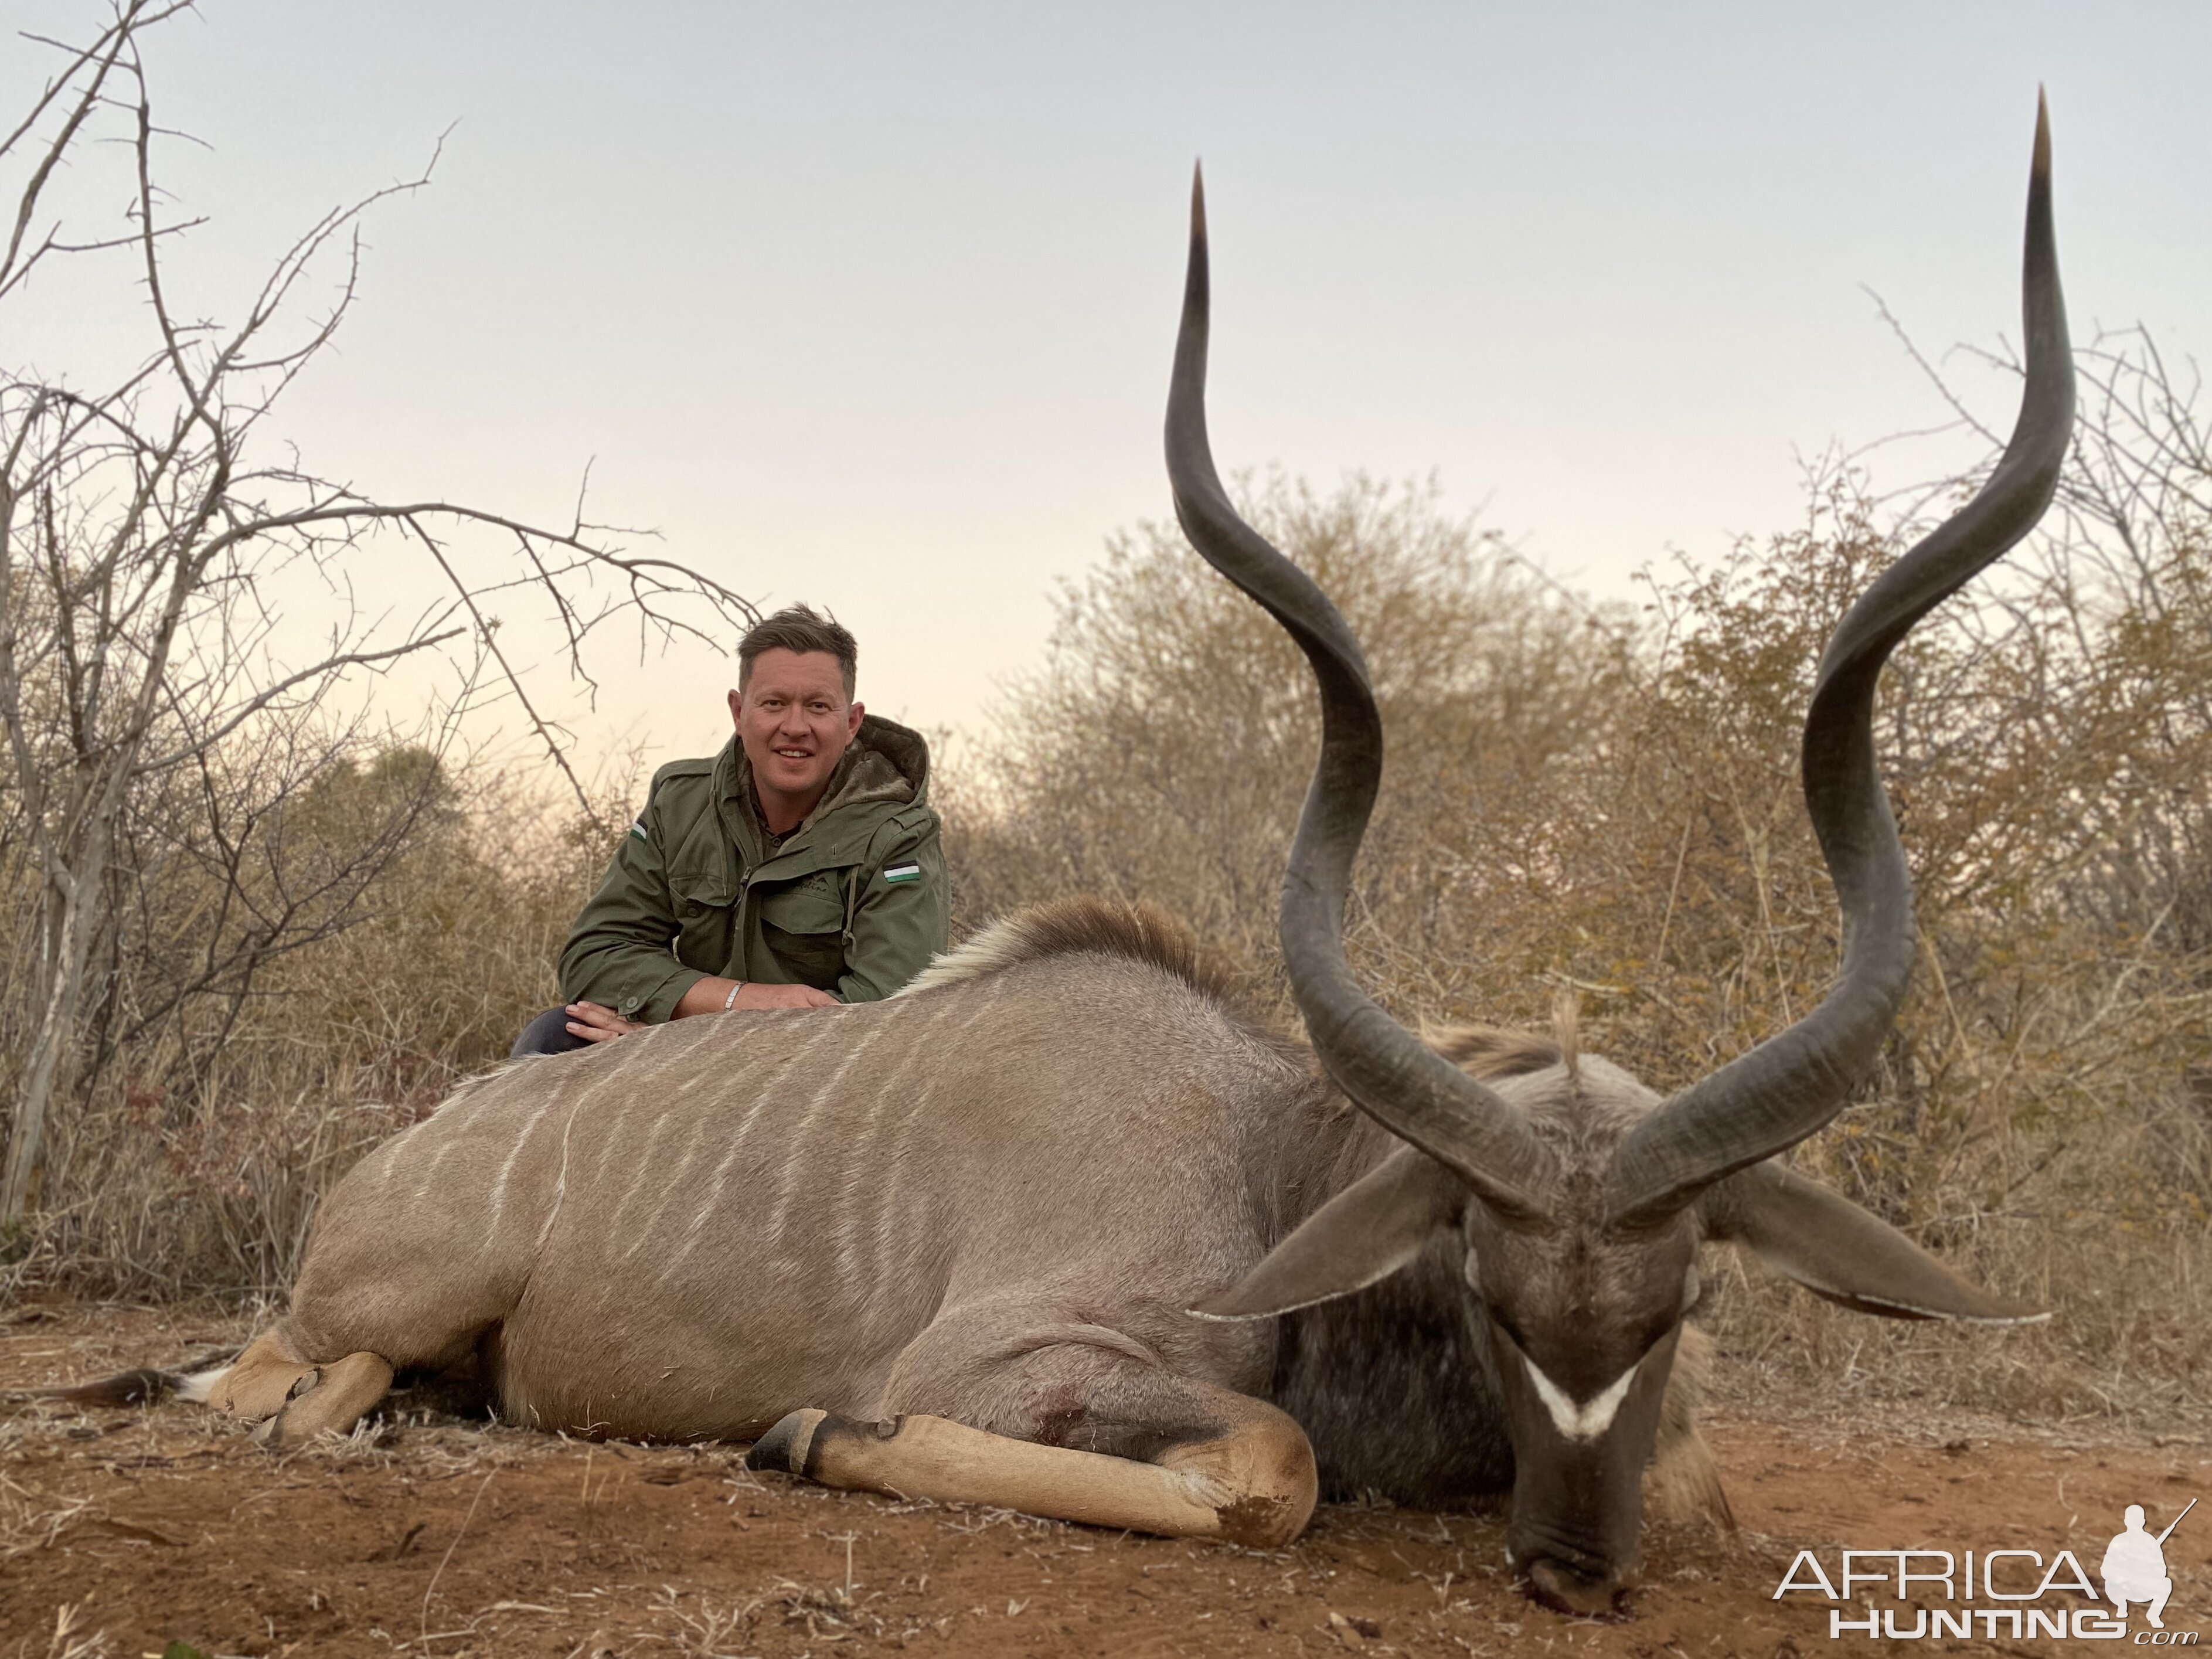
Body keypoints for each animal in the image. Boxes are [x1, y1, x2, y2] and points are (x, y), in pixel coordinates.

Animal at [107, 104, 2070, 1610]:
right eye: (1482, 1286)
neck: (1272, 1160)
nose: (1570, 1569)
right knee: (276, 1387)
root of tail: (417, 1141)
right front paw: (810, 1428)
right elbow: (1267, 1461)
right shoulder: (1007, 1353)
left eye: (1684, 1297)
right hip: (390, 1299)